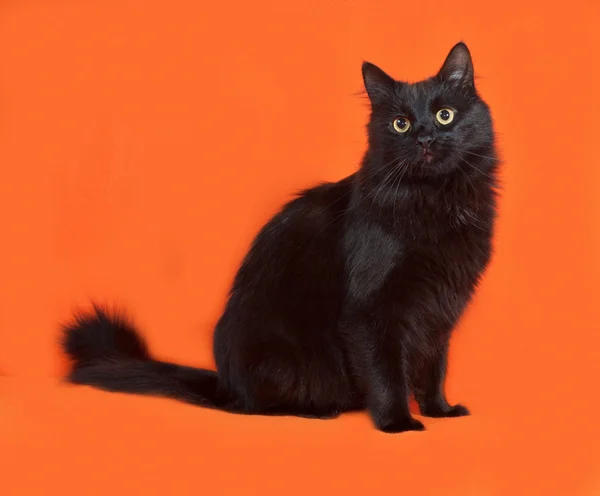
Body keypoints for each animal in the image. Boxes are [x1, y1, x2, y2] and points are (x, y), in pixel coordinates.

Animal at [63, 42, 500, 434]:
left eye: (445, 116)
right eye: (400, 124)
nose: (425, 138)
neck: (435, 201)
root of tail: (225, 383)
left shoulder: (440, 306)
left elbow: (434, 367)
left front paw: (439, 410)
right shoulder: (371, 310)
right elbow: (386, 373)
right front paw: (398, 424)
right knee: (255, 407)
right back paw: (318, 411)